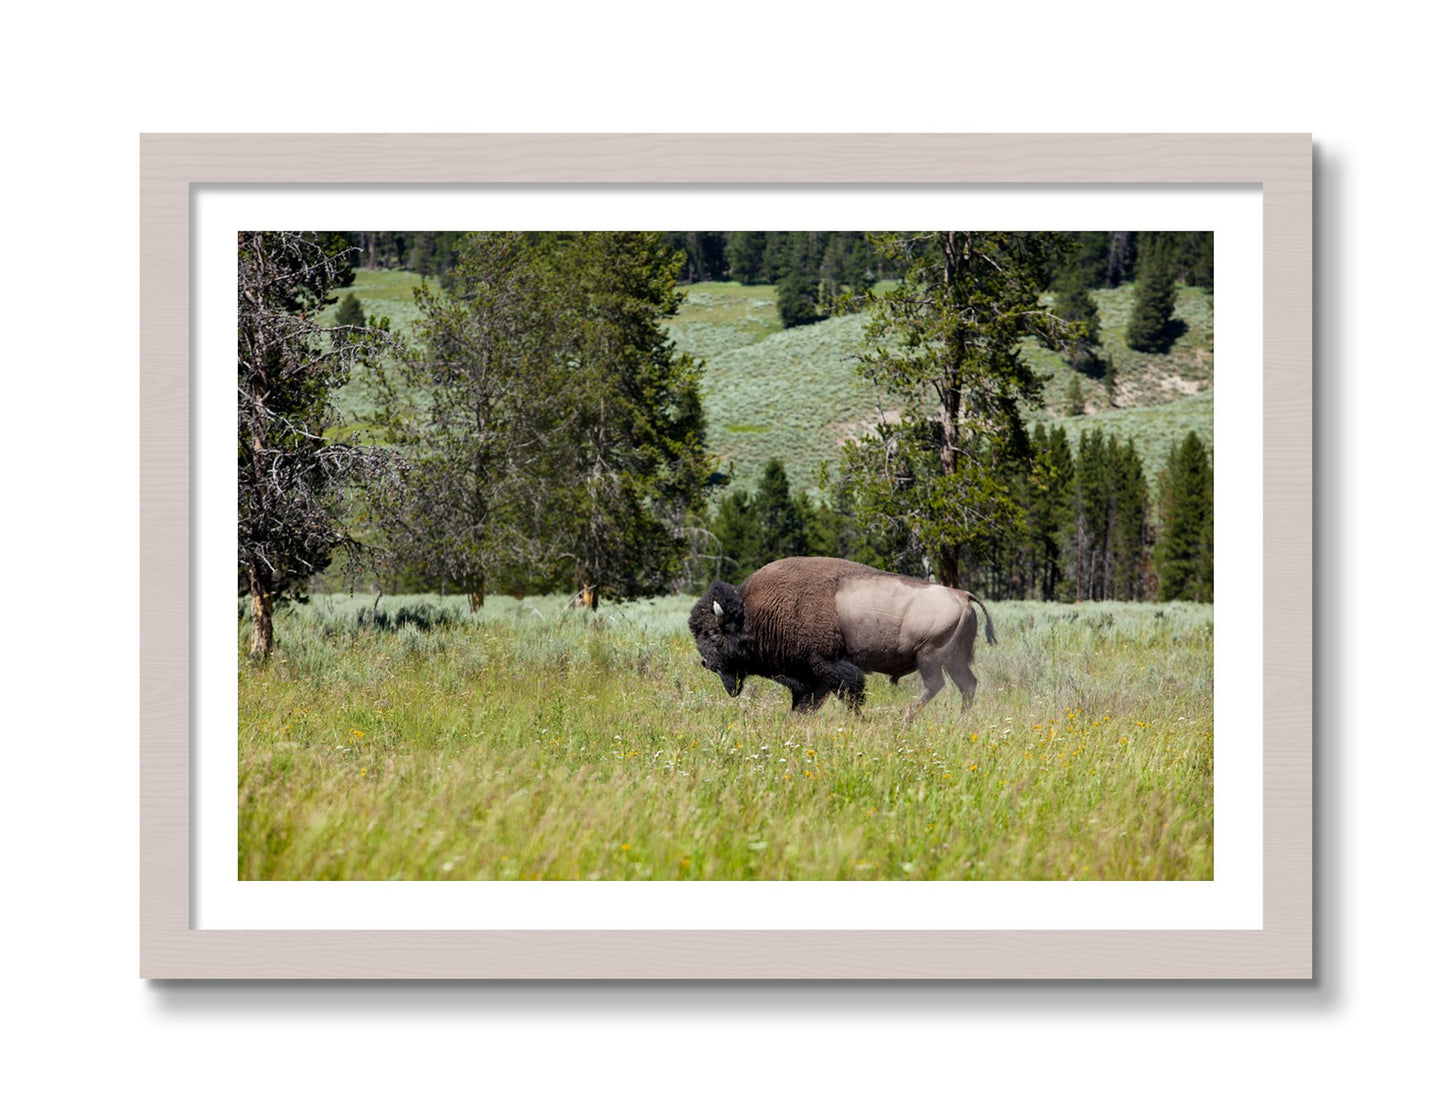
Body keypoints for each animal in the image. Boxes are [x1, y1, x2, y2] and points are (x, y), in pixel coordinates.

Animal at [688, 556, 996, 721]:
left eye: (712, 633)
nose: (705, 662)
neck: (753, 612)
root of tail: (962, 595)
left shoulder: (828, 666)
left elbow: (850, 693)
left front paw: (860, 720)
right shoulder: (811, 677)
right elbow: (807, 702)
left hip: (930, 656)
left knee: (936, 685)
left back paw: (905, 718)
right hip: (954, 660)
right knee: (967, 685)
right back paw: (961, 718)